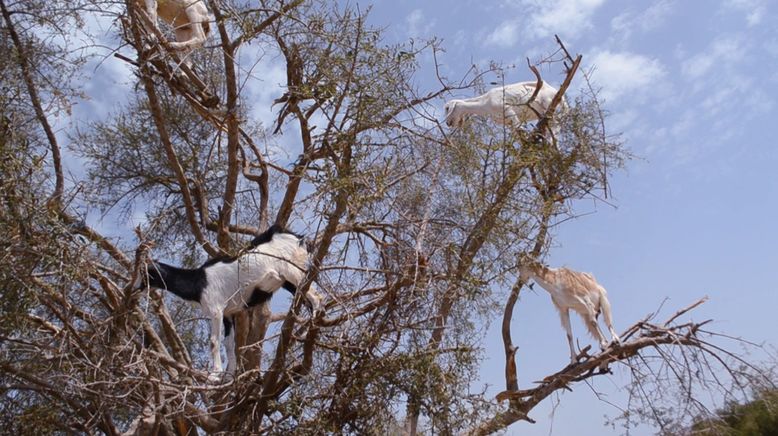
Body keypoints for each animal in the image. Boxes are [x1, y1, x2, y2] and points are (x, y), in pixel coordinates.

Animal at [137, 225, 322, 378]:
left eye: (146, 272)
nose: (136, 288)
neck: (199, 282)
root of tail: (298, 239)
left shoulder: (216, 310)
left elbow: (214, 341)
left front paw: (215, 374)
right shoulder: (228, 313)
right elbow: (228, 343)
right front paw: (230, 374)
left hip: (292, 271)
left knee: (316, 297)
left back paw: (312, 324)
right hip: (288, 281)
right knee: (307, 297)